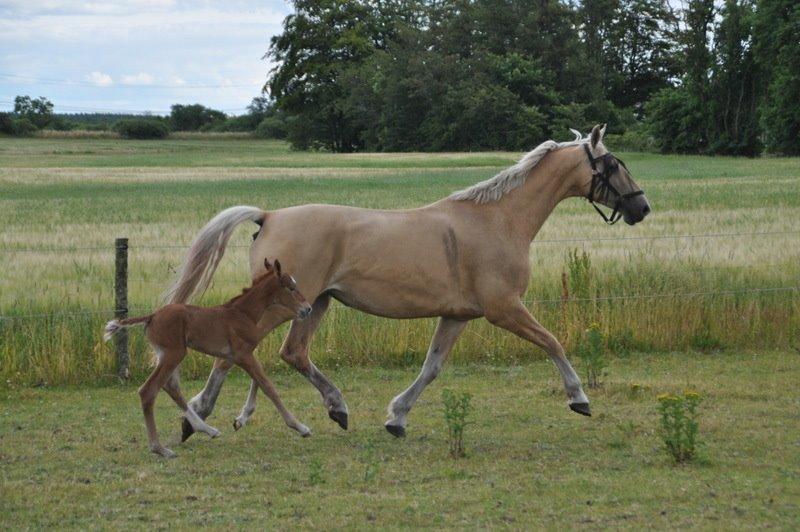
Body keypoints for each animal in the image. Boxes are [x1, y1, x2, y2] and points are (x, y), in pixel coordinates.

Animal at [105, 258, 316, 458]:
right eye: (291, 288)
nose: (307, 309)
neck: (242, 314)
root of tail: (151, 316)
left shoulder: (231, 356)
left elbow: (259, 382)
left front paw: (240, 420)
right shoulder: (243, 355)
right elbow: (269, 387)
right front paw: (301, 428)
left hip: (167, 355)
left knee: (171, 386)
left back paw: (207, 430)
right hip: (174, 353)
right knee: (149, 390)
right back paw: (160, 449)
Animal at [169, 125, 648, 440]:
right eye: (612, 163)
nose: (642, 207)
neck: (497, 220)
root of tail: (268, 216)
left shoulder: (457, 316)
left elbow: (431, 368)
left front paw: (397, 418)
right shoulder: (505, 309)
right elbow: (552, 342)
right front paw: (579, 399)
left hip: (315, 303)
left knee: (294, 353)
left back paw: (334, 409)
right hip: (283, 307)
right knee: (242, 353)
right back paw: (198, 415)